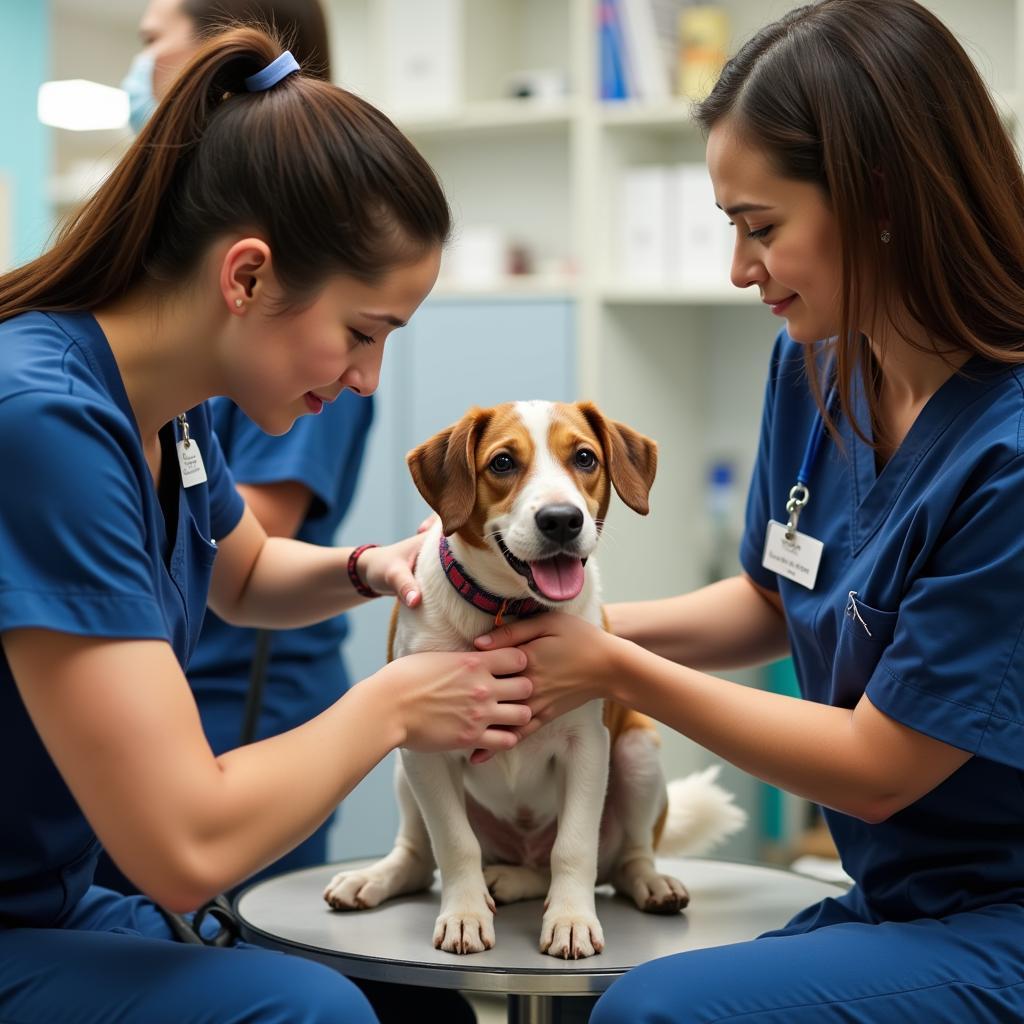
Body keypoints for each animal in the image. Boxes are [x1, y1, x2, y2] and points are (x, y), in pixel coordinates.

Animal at [321, 401, 745, 958]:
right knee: (420, 854)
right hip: (403, 768)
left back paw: (645, 882)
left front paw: (570, 919)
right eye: (502, 463)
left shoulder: (588, 744)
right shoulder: (425, 748)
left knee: (618, 859)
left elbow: (574, 847)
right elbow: (455, 843)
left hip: (637, 751)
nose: (561, 520)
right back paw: (383, 878)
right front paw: (465, 913)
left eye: (585, 457)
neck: (508, 610)